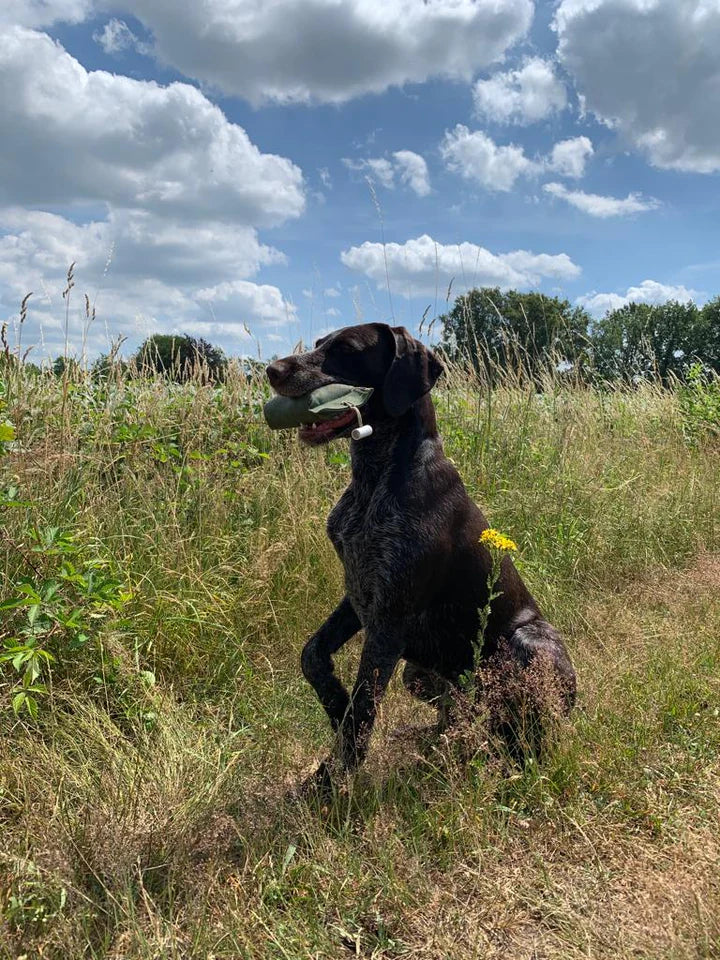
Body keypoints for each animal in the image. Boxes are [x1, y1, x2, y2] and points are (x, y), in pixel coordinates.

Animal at [268, 322, 576, 788]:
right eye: (319, 343)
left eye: (346, 349)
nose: (272, 370)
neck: (374, 477)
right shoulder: (360, 594)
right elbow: (312, 655)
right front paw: (335, 702)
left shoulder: (390, 616)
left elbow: (363, 706)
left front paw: (331, 781)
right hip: (418, 675)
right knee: (463, 718)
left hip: (528, 644)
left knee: (524, 734)